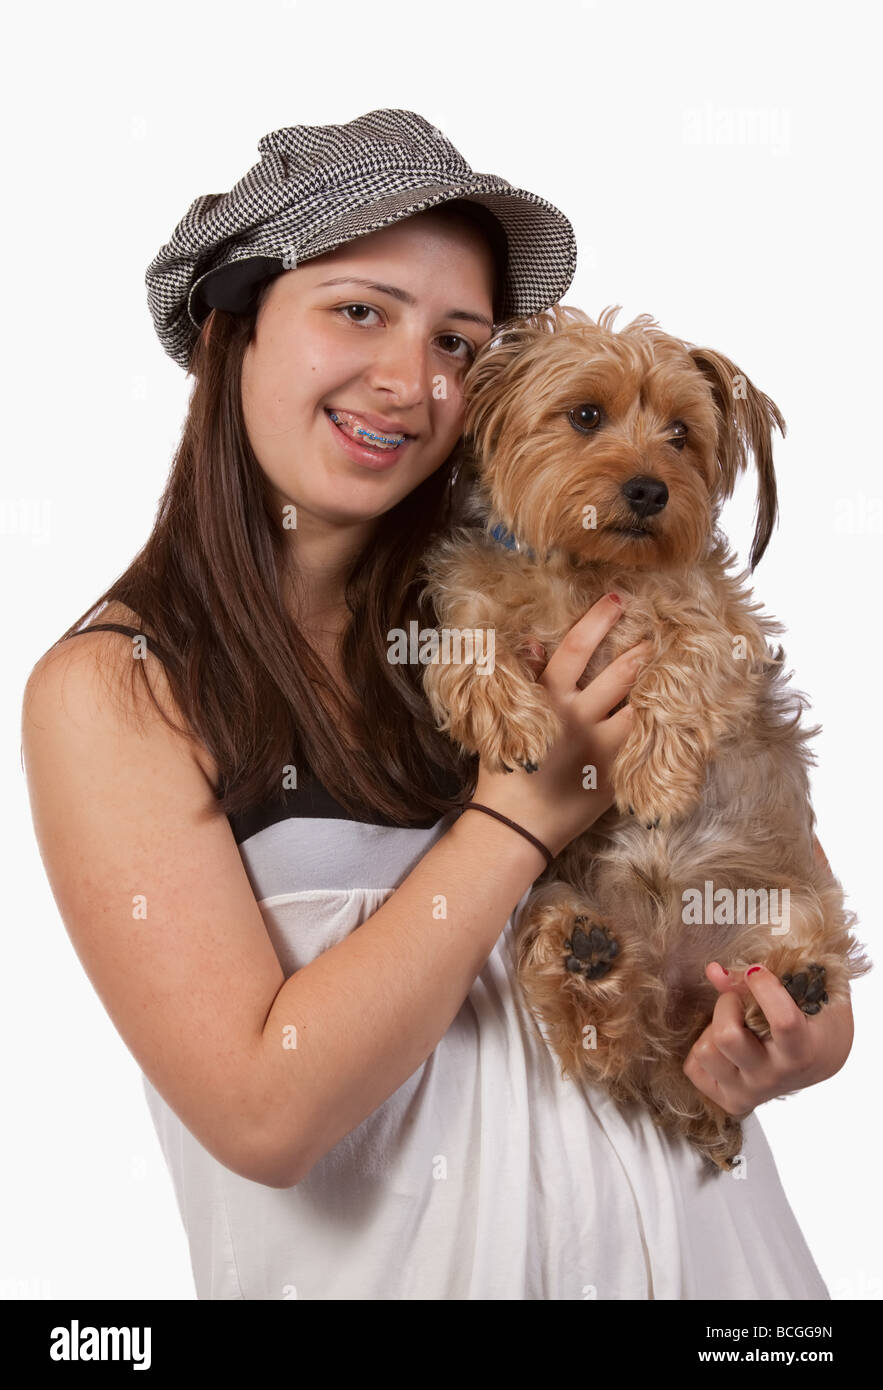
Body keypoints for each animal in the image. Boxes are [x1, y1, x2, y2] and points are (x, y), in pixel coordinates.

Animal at [419, 307, 873, 1173]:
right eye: (585, 415)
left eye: (680, 434)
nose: (649, 489)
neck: (589, 570)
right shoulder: (471, 594)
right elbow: (466, 647)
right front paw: (516, 721)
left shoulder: (718, 624)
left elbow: (681, 662)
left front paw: (655, 781)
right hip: (550, 910)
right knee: (600, 1035)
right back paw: (589, 960)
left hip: (793, 904)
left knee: (784, 971)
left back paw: (786, 987)